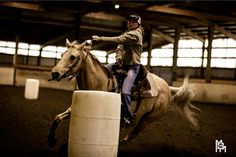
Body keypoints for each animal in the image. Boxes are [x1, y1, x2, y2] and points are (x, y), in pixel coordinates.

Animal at [47, 39, 199, 146]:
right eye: (62, 54)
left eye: (73, 57)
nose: (55, 73)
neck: (100, 83)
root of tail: (167, 87)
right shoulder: (76, 108)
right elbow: (57, 117)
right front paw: (51, 140)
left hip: (148, 118)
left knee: (134, 133)